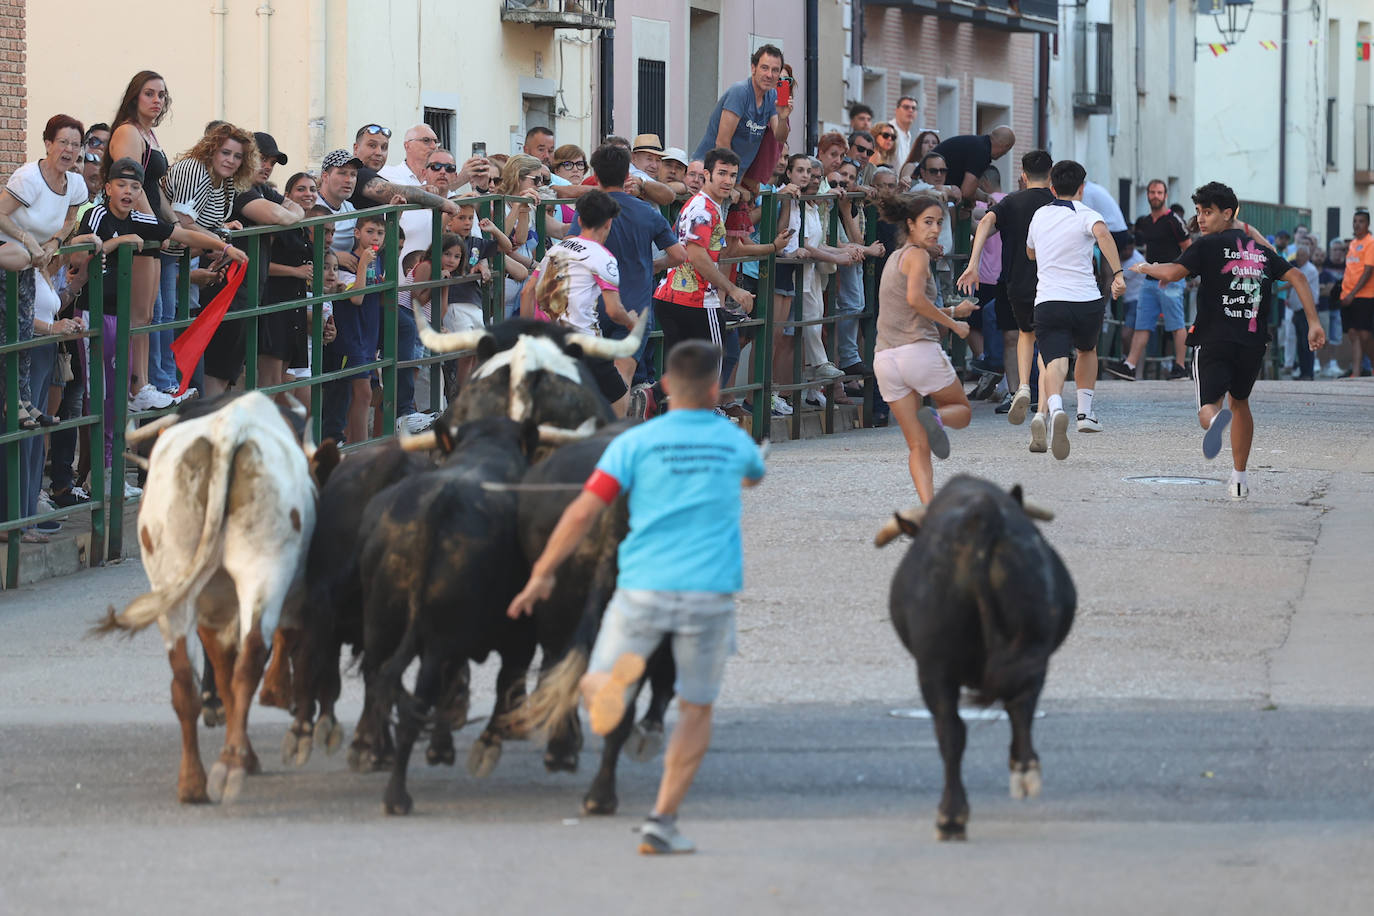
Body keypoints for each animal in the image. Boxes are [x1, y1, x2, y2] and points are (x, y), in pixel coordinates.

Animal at [879, 477, 1071, 840]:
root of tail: (981, 519)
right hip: (1029, 647)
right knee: (1016, 707)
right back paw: (1020, 773)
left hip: (936, 667)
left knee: (953, 731)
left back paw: (953, 815)